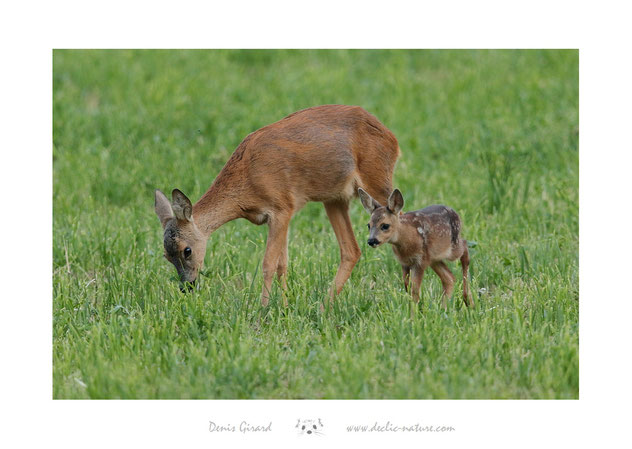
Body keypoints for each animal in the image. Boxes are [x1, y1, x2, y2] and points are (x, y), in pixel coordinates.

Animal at [154, 105, 400, 304]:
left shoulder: (280, 208)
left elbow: (268, 264)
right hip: (334, 198)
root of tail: (392, 138)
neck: (246, 183)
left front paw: (262, 311)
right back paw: (324, 306)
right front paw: (283, 307)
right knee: (351, 250)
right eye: (166, 255)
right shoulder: (280, 215)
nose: (187, 286)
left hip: (376, 180)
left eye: (187, 250)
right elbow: (283, 264)